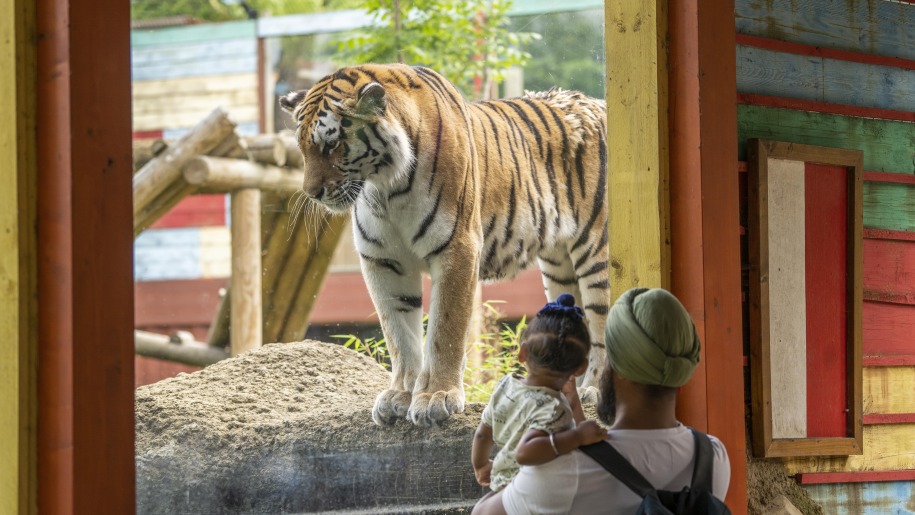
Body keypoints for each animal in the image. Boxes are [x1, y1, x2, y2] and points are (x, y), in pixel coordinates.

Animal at [280, 63, 608, 428]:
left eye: (332, 144)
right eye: (302, 149)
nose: (311, 193)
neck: (385, 188)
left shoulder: (457, 248)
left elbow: (444, 330)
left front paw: (437, 397)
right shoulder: (382, 259)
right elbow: (398, 333)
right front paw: (400, 394)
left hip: (596, 252)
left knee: (601, 326)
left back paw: (592, 390)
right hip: (558, 267)